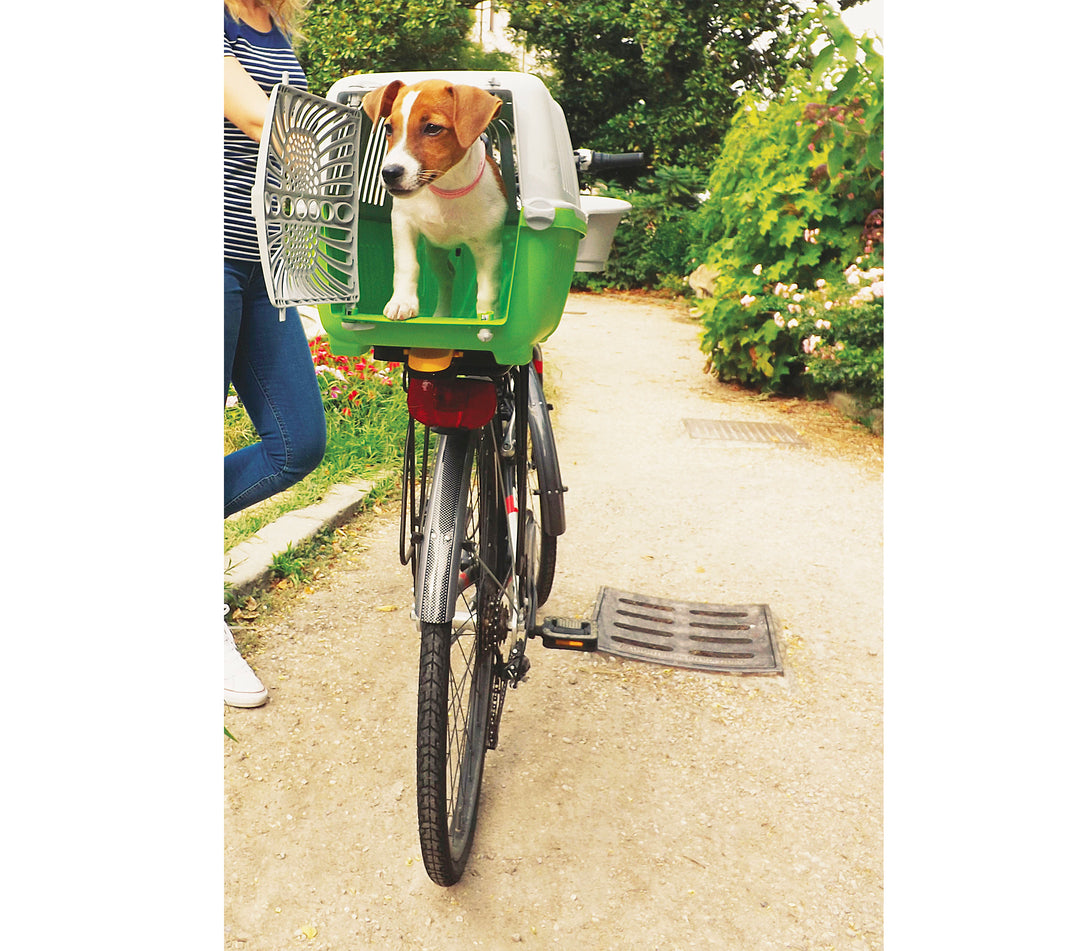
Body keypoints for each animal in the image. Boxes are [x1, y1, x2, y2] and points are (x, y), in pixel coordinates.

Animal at [360, 78, 507, 323]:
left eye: (432, 128)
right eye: (388, 128)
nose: (389, 173)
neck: (447, 190)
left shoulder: (489, 247)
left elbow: (487, 290)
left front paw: (488, 317)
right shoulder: (403, 224)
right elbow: (407, 265)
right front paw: (402, 302)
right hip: (435, 251)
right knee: (447, 277)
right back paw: (441, 315)